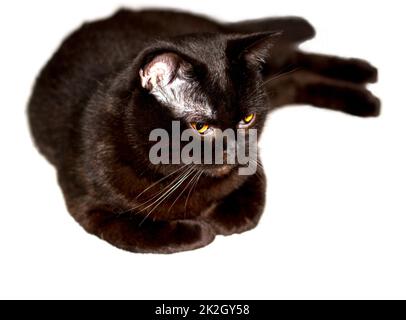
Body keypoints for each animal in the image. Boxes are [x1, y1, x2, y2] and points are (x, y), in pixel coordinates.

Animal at [28, 8, 380, 252]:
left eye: (247, 119)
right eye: (201, 126)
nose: (235, 150)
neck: (175, 174)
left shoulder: (254, 163)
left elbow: (248, 204)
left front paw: (220, 219)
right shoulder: (88, 206)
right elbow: (135, 229)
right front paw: (198, 229)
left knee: (297, 60)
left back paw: (365, 80)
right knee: (296, 76)